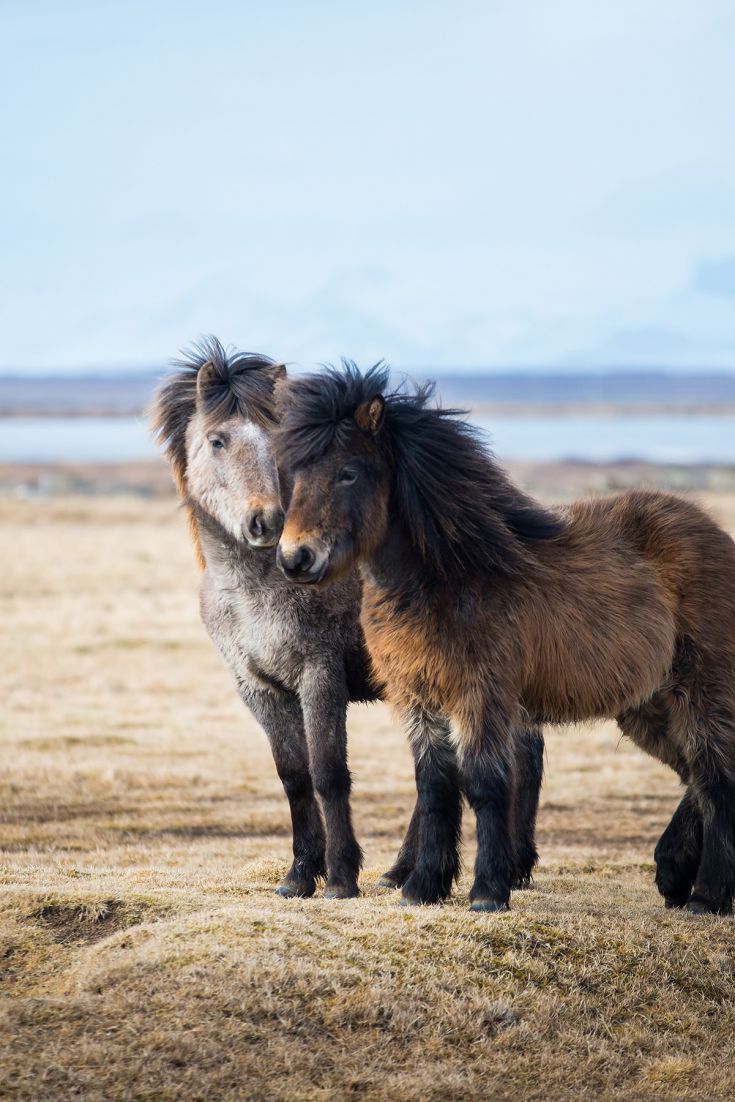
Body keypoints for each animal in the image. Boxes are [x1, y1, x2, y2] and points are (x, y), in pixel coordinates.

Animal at [150, 338, 385, 899]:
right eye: (217, 441)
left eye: (278, 441)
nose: (268, 521)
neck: (255, 589)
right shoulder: (256, 686)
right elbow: (293, 775)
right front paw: (299, 875)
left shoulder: (320, 676)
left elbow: (329, 773)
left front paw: (341, 877)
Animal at [275, 361, 735, 916]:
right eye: (295, 473)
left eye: (348, 472)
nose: (295, 559)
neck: (450, 576)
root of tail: (713, 532)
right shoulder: (418, 697)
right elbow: (434, 787)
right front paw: (424, 886)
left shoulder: (482, 694)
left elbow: (486, 783)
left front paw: (488, 892)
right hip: (645, 705)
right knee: (696, 775)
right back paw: (673, 874)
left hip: (701, 689)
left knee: (715, 778)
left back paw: (706, 895)